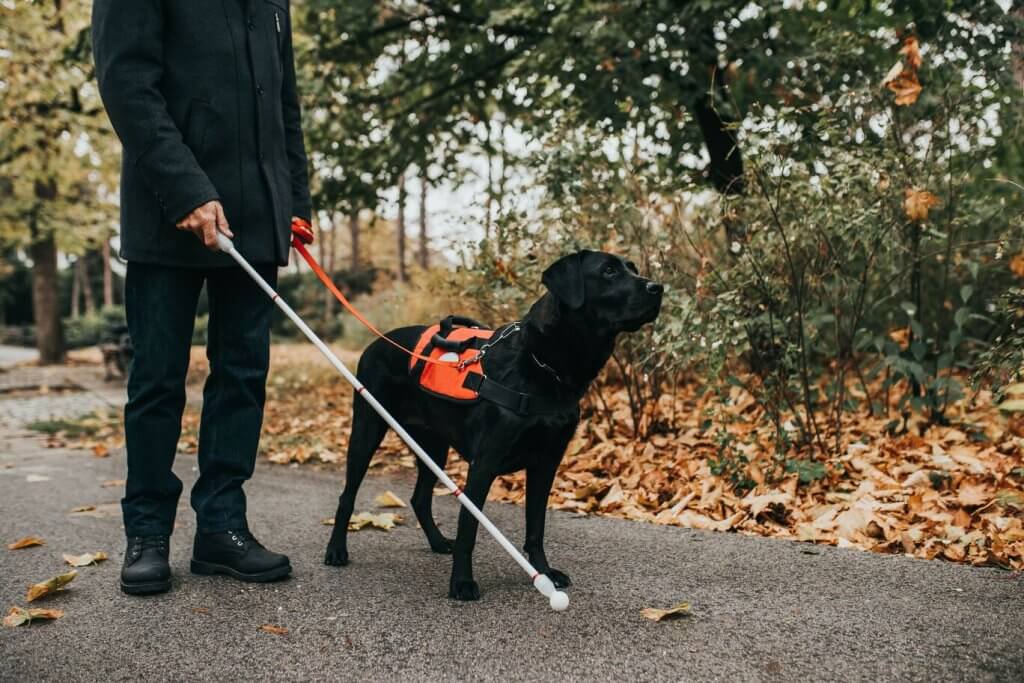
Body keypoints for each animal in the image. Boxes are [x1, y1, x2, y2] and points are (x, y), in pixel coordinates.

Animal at [323, 248, 667, 602]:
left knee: (419, 499)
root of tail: (376, 343)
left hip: (433, 445)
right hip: (367, 429)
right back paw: (336, 550)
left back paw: (437, 542)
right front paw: (461, 582)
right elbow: (468, 528)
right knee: (347, 496)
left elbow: (536, 527)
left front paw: (544, 572)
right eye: (609, 271)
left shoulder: (546, 463)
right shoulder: (484, 463)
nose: (658, 288)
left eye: (632, 268)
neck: (543, 364)